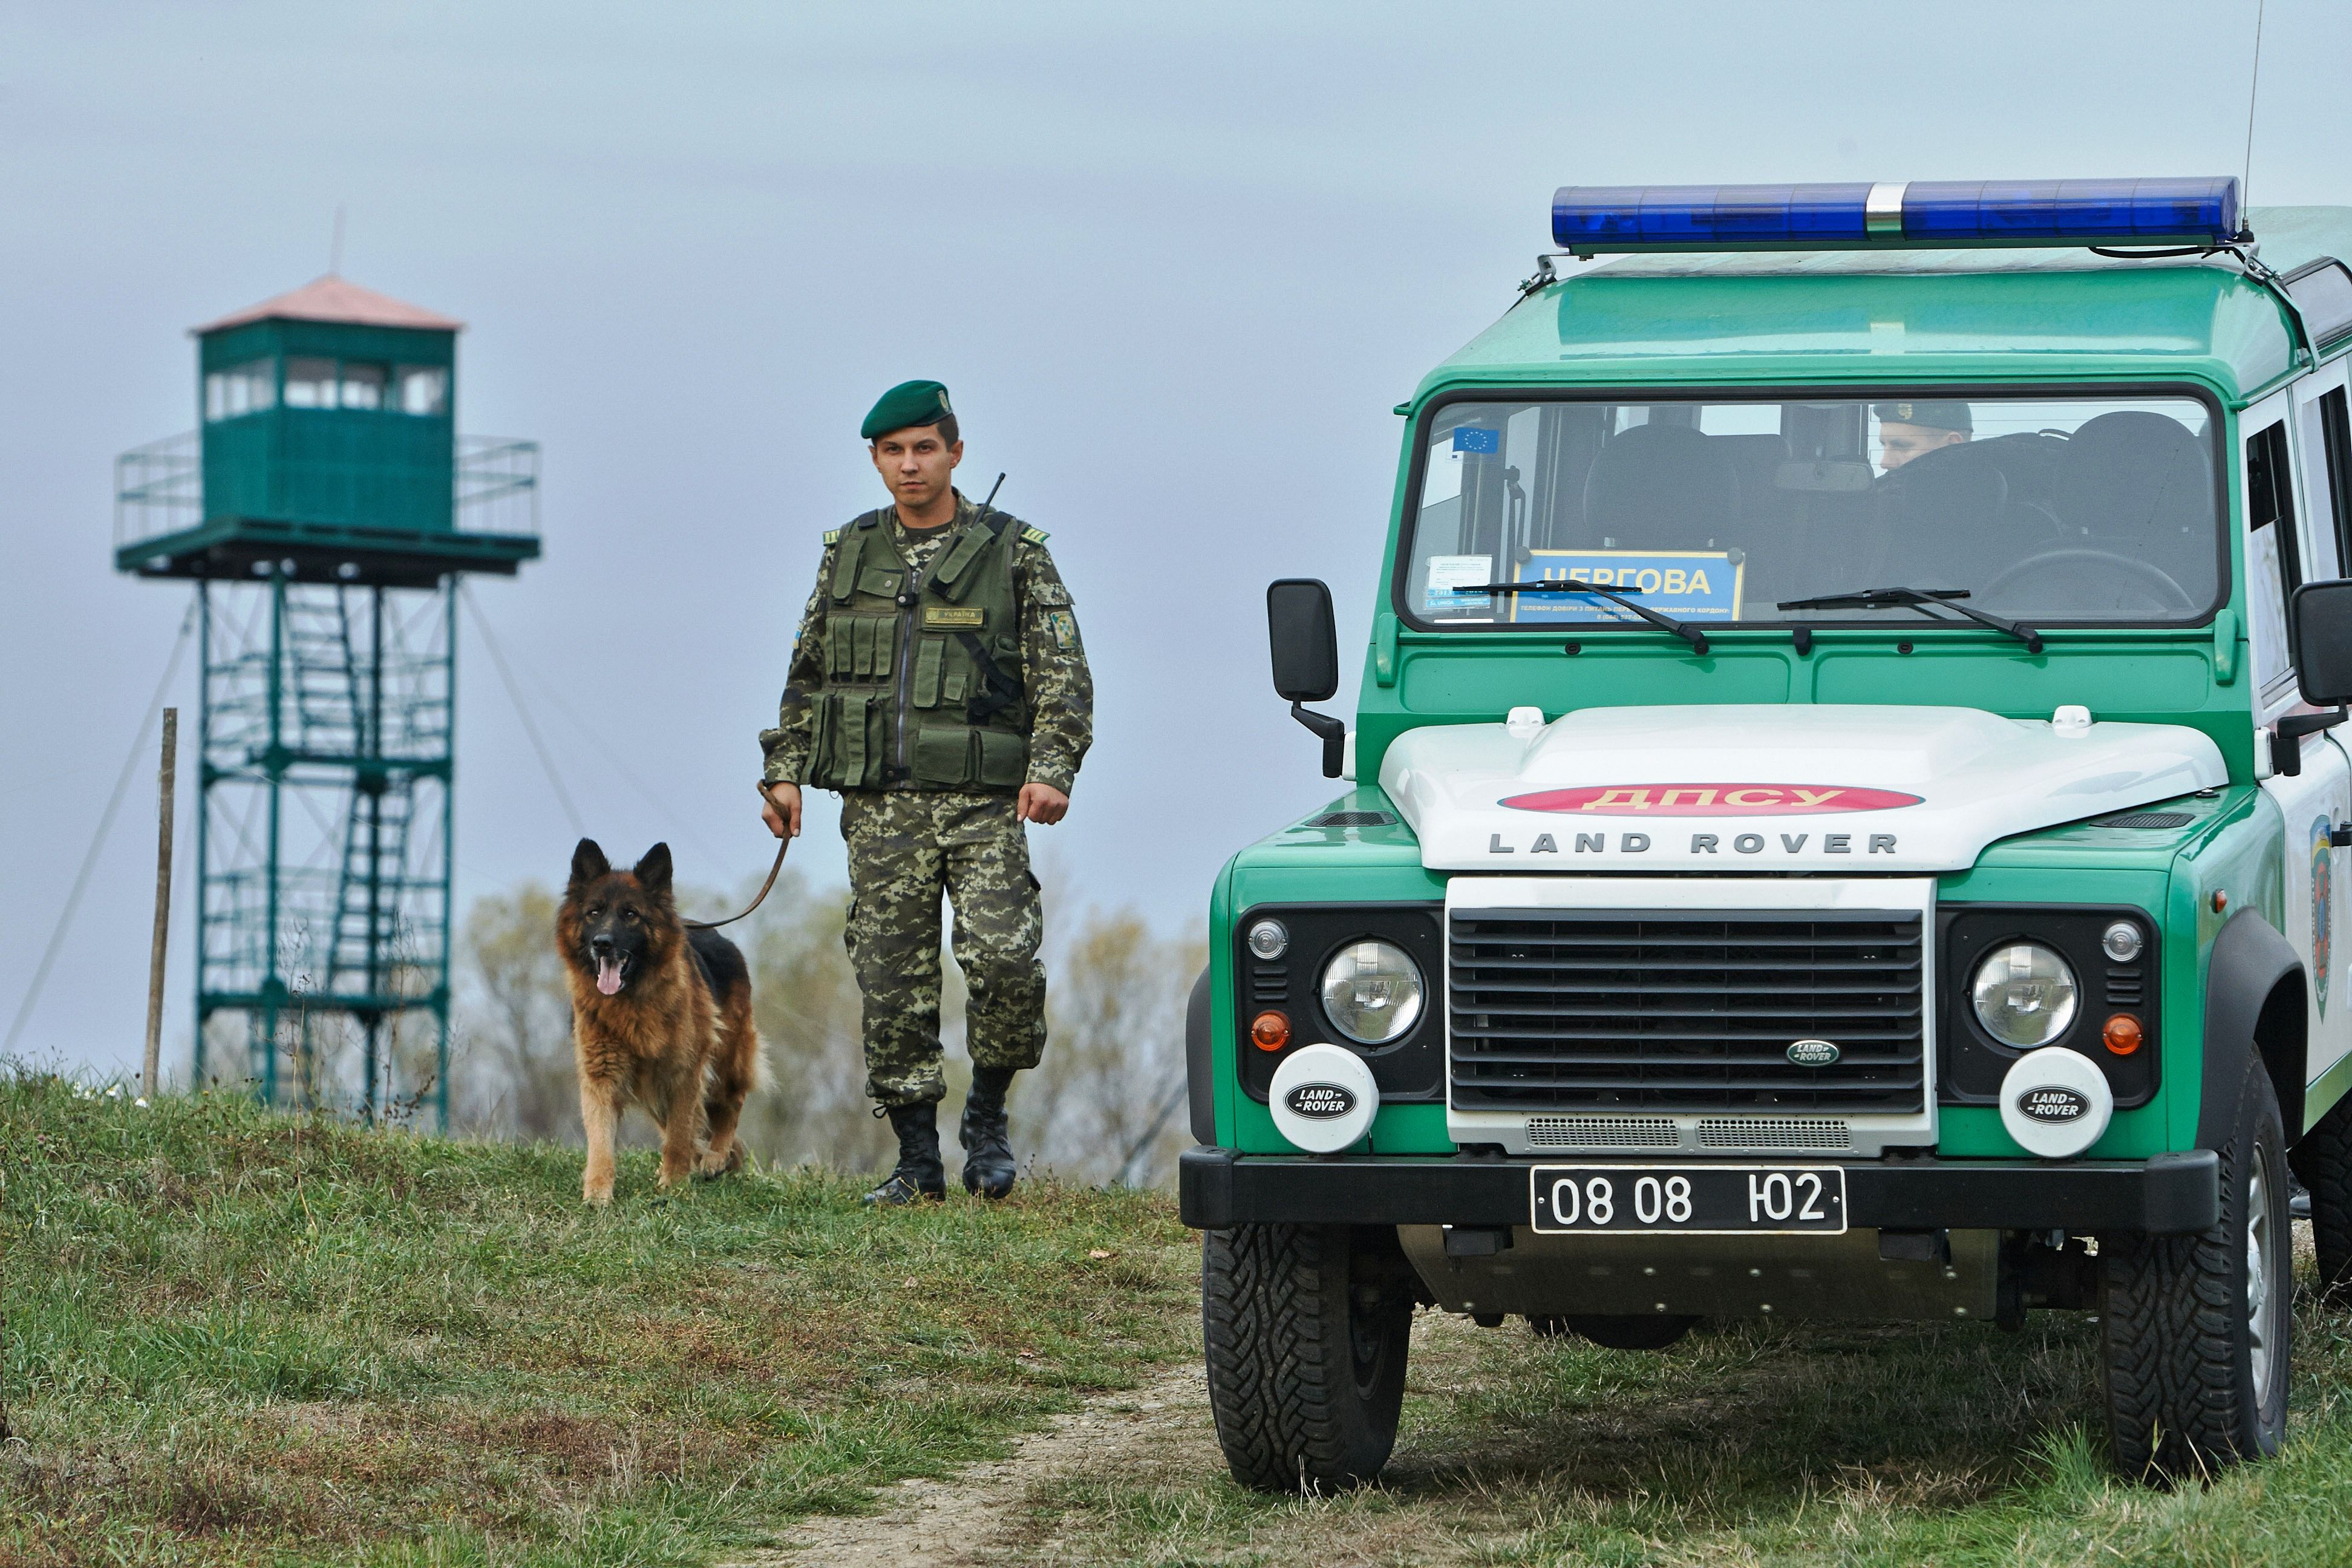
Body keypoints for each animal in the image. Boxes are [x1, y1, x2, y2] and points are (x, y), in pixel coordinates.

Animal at [557, 841, 762, 1213]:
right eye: (594, 912)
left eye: (630, 915)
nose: (602, 943)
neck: (631, 1004)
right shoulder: (601, 1077)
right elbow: (601, 1141)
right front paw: (598, 1191)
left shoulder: (684, 1073)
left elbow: (680, 1135)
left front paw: (676, 1184)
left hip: (726, 1059)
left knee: (730, 1103)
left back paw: (717, 1155)